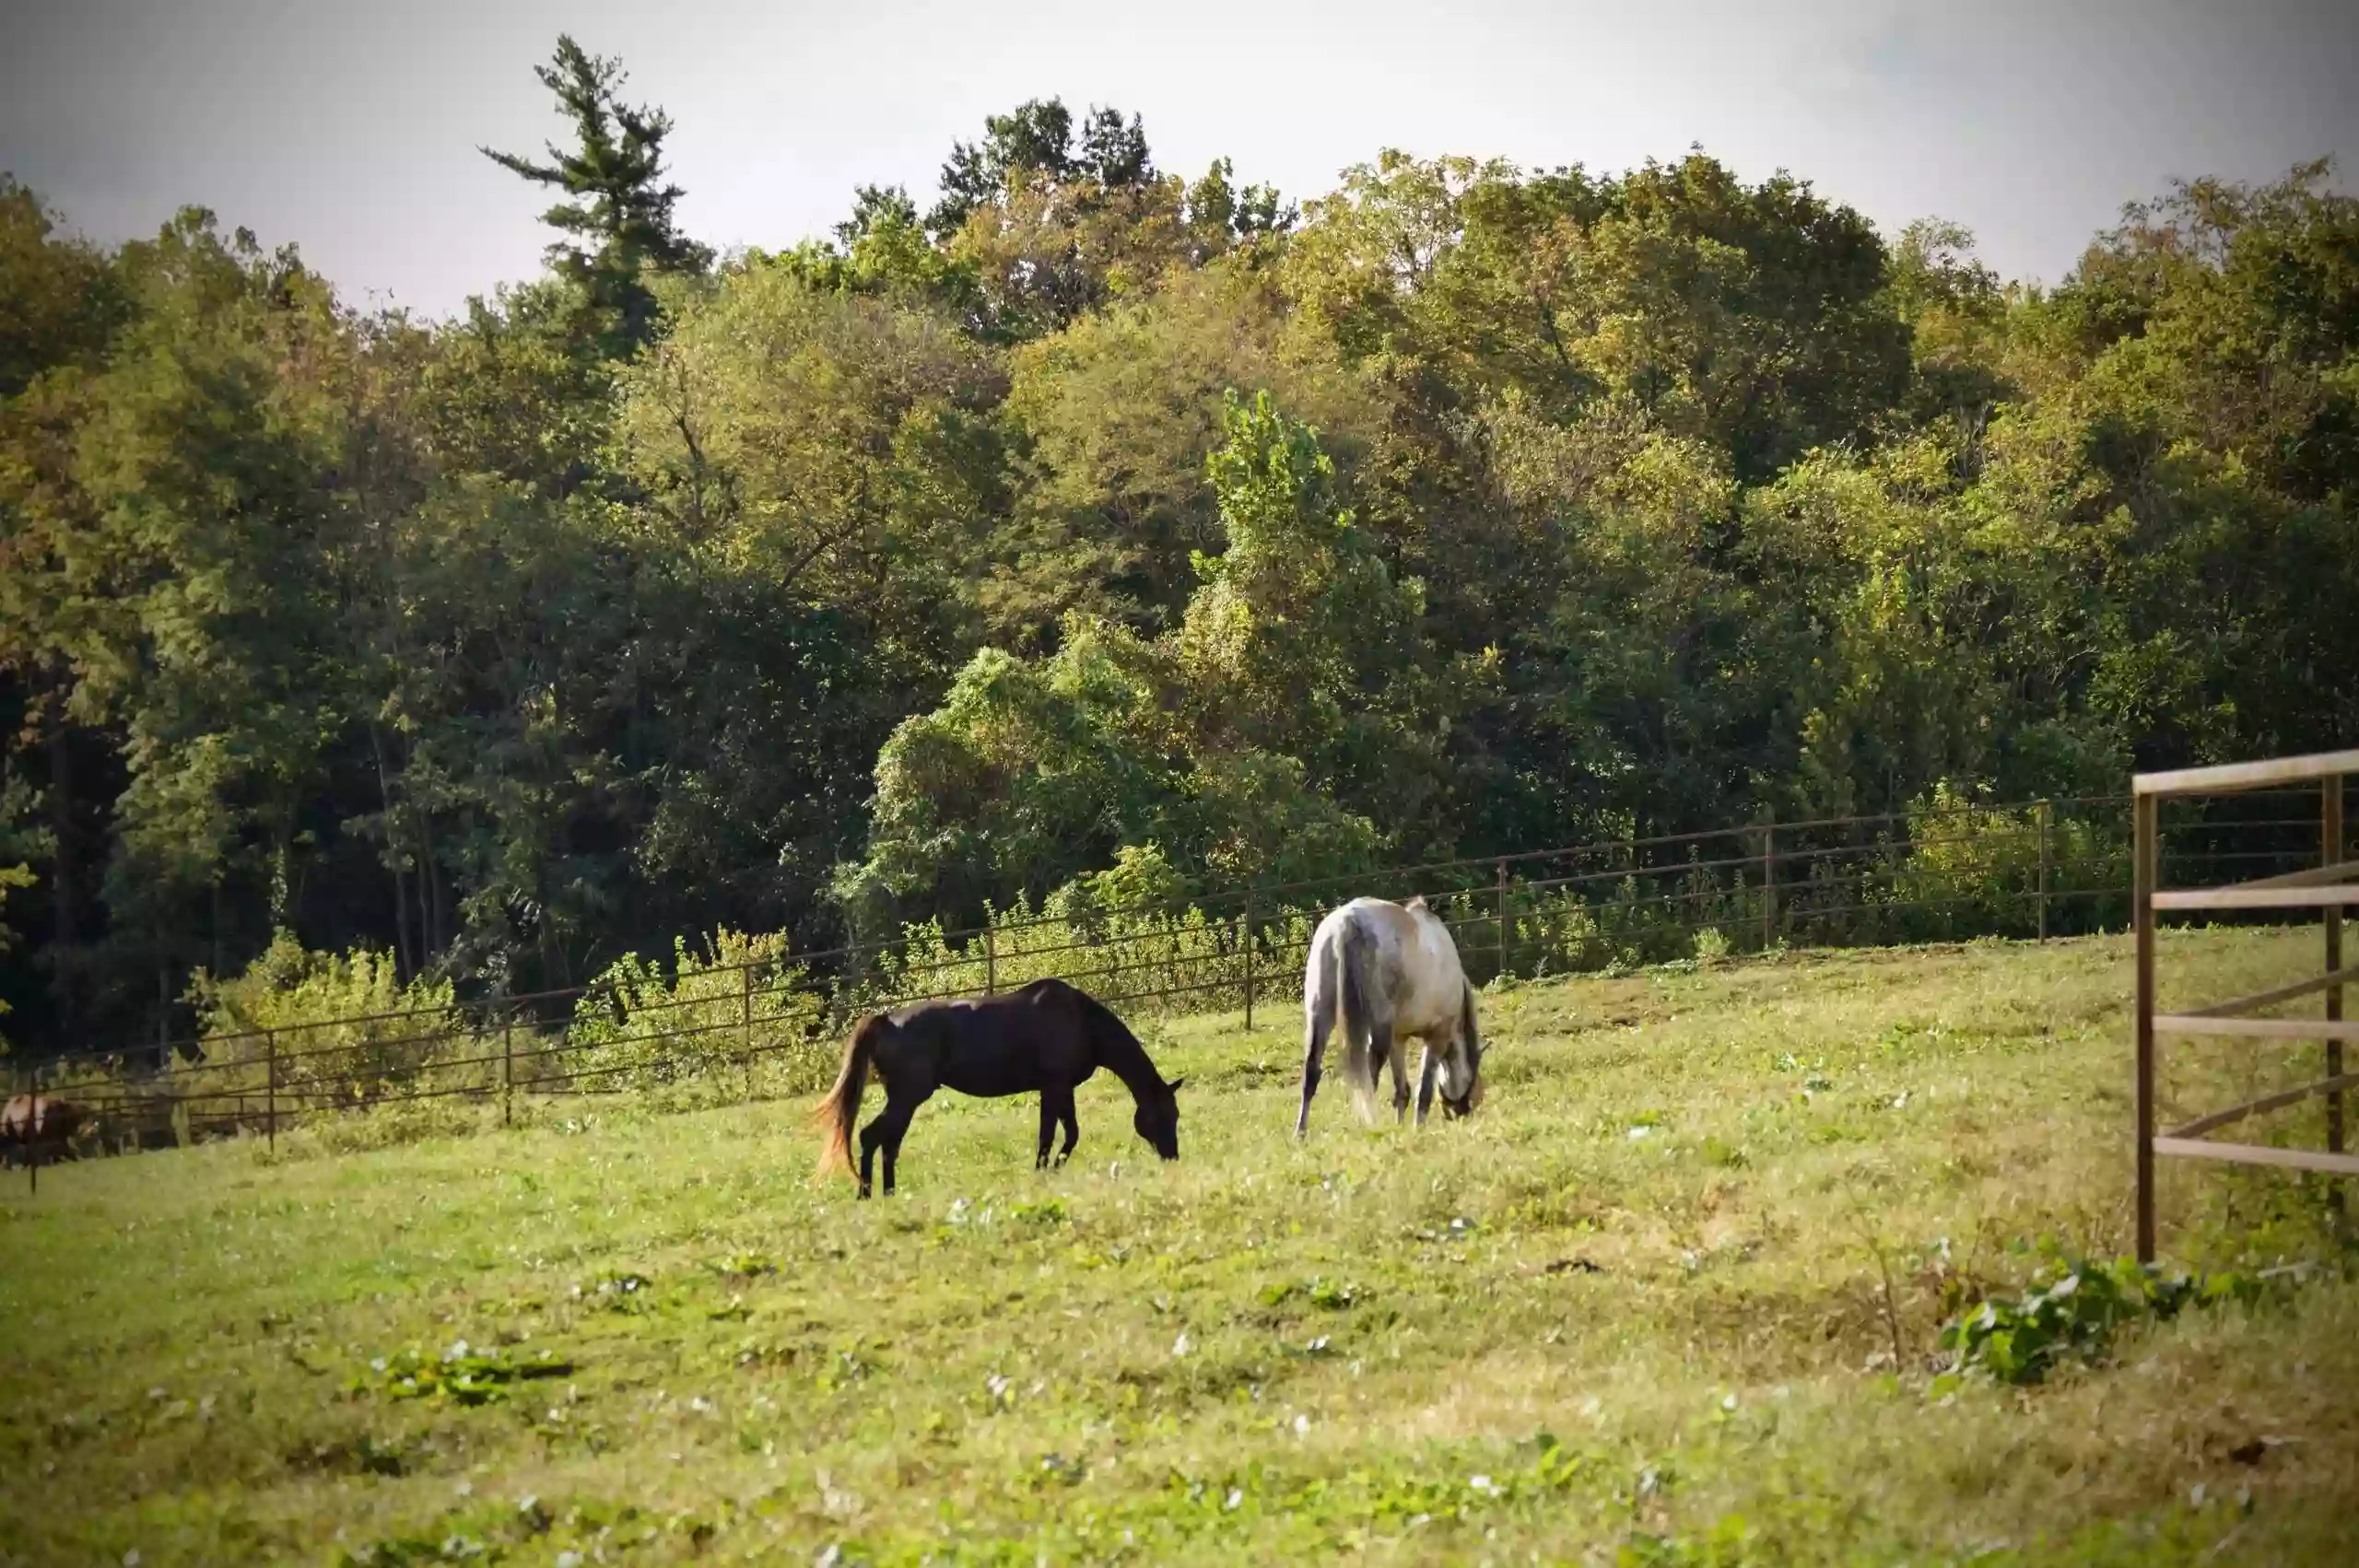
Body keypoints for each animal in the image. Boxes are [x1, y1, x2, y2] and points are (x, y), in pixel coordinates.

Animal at [816, 980, 1180, 1198]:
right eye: (1165, 1116)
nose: (1172, 1157)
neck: (1081, 1021)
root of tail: (886, 1021)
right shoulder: (1053, 1088)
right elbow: (1050, 1135)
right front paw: (1044, 1171)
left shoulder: (1062, 1090)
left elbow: (1070, 1134)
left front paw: (1054, 1168)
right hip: (907, 1098)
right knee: (871, 1137)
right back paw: (866, 1194)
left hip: (904, 1101)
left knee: (888, 1145)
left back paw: (889, 1194)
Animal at [1302, 891, 1481, 1136]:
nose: (1460, 1112)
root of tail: (1347, 923)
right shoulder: (1437, 1036)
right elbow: (1423, 1090)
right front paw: (1417, 1129)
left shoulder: (1399, 1038)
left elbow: (1402, 1091)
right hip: (1379, 1028)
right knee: (1368, 1076)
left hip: (1319, 1013)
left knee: (1311, 1071)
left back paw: (1300, 1133)